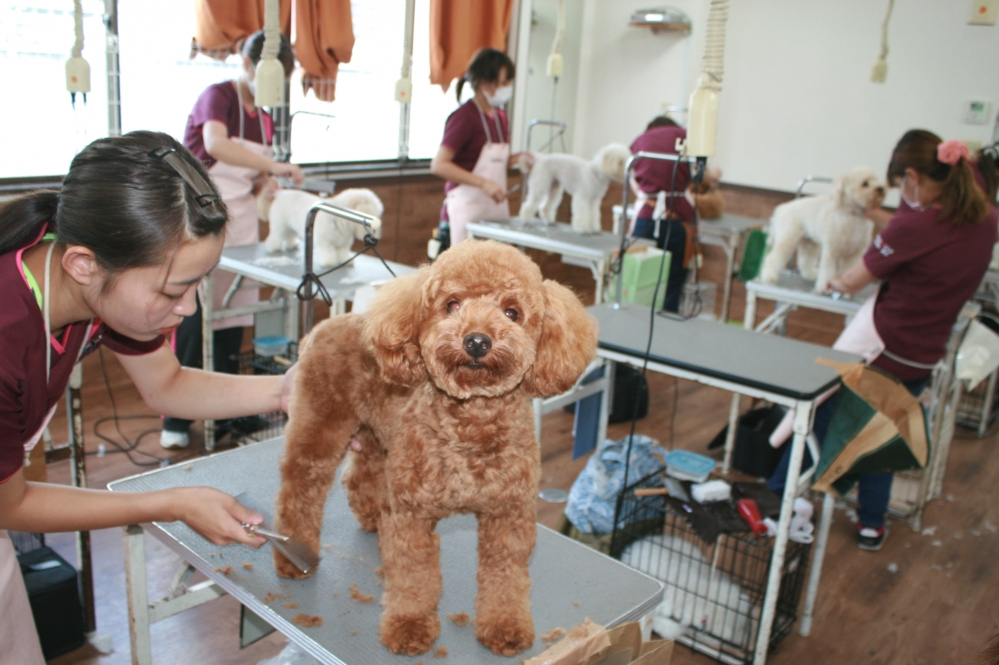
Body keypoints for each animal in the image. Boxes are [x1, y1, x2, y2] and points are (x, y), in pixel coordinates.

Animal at [760, 167, 888, 292]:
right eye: (865, 183)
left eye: (876, 180)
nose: (881, 188)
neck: (853, 216)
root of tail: (780, 209)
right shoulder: (832, 251)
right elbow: (828, 270)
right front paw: (823, 287)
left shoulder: (854, 254)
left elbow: (846, 271)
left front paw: (844, 290)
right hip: (787, 239)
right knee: (772, 258)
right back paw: (769, 276)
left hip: (809, 242)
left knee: (806, 262)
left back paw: (812, 274)